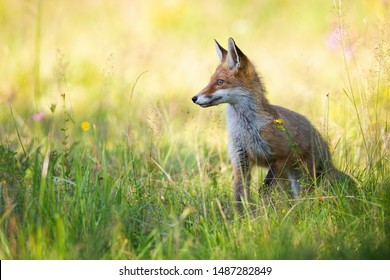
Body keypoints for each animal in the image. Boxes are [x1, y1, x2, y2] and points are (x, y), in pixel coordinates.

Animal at [193, 37, 348, 212]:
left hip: (301, 179)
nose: (194, 98)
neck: (246, 130)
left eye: (220, 82)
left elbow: (263, 190)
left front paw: (260, 213)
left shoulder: (279, 157)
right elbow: (239, 195)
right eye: (210, 81)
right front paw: (241, 217)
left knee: (305, 197)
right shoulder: (240, 160)